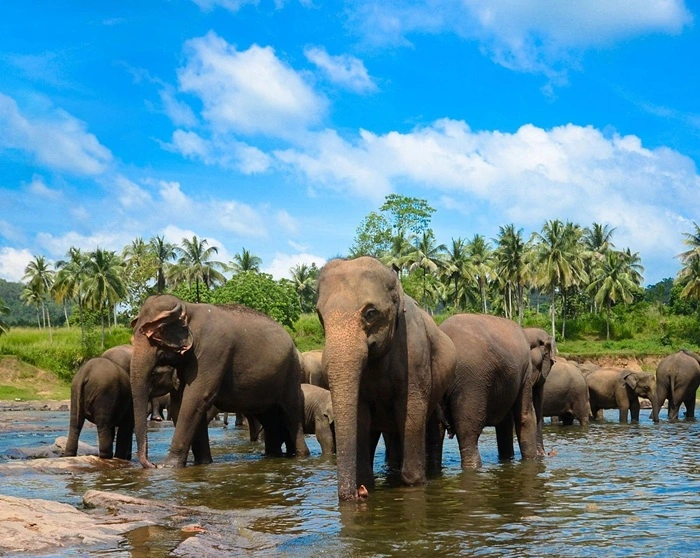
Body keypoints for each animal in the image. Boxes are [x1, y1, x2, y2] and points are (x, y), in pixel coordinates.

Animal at [129, 294, 309, 468]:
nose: (152, 464)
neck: (188, 307)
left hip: (291, 373)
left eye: (157, 334)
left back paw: (301, 456)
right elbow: (181, 404)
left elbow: (196, 398)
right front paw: (202, 463)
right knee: (270, 419)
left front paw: (168, 466)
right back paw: (273, 455)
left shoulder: (212, 351)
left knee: (291, 415)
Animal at [316, 256, 456, 501]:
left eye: (370, 313)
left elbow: (411, 411)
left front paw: (414, 483)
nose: (359, 493)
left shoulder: (415, 354)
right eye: (319, 316)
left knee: (431, 425)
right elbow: (361, 417)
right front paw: (366, 483)